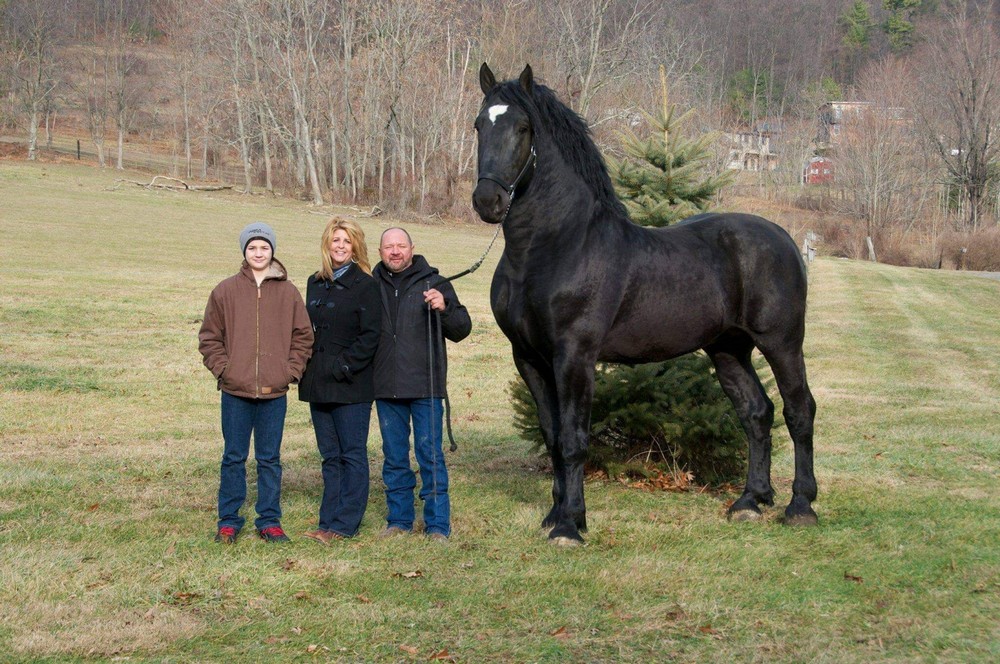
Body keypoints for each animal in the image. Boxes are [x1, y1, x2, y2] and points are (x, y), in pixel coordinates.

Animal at [472, 65, 816, 548]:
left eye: (522, 128)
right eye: (479, 126)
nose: (488, 201)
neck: (555, 246)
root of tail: (784, 238)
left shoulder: (574, 356)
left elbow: (575, 439)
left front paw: (570, 525)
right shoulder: (529, 358)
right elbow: (553, 436)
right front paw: (557, 513)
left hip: (782, 343)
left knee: (798, 411)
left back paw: (800, 506)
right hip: (728, 349)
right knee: (757, 413)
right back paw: (750, 501)